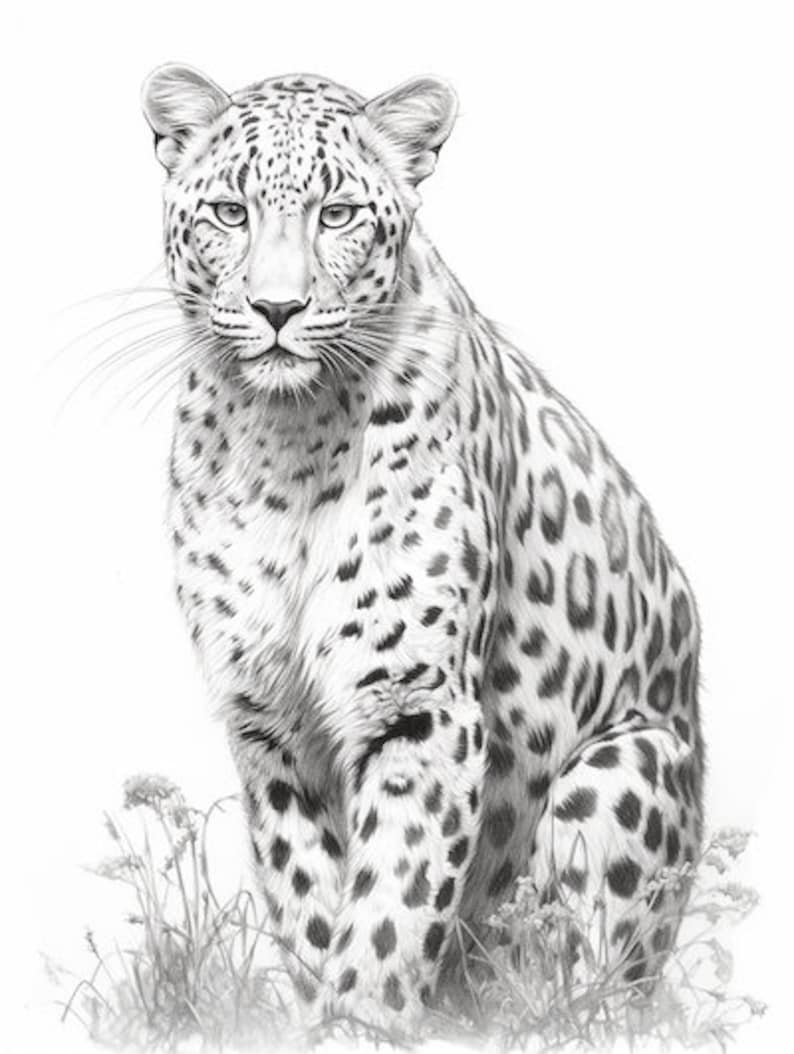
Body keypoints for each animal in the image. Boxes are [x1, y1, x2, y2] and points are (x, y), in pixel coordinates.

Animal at [141, 63, 704, 1034]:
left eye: (336, 215)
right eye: (228, 212)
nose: (277, 308)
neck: (288, 437)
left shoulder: (419, 706)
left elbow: (392, 897)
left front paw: (363, 1019)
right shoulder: (266, 719)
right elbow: (309, 892)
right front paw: (320, 1011)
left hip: (627, 770)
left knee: (586, 982)